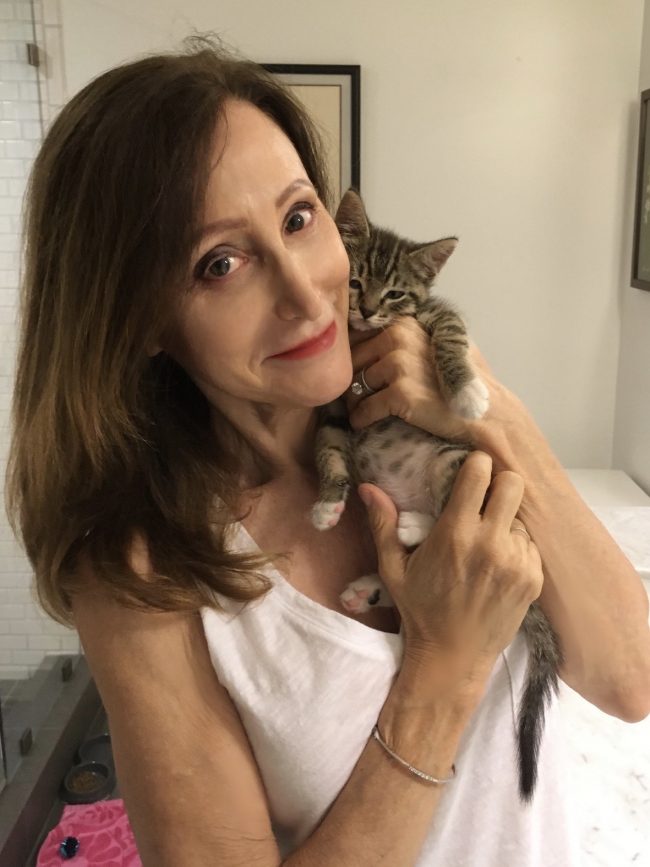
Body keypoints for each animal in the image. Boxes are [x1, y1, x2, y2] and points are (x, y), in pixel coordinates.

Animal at [311, 188, 563, 803]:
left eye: (396, 294)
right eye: (354, 280)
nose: (368, 310)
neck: (364, 338)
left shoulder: (432, 316)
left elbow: (450, 330)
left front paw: (468, 392)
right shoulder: (333, 406)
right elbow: (328, 447)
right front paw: (328, 500)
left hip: (458, 461)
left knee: (450, 509)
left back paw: (414, 525)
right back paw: (368, 585)